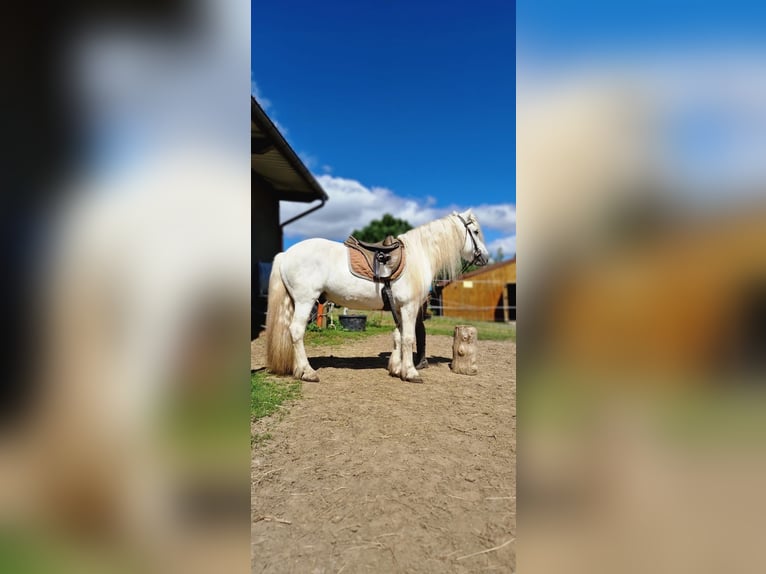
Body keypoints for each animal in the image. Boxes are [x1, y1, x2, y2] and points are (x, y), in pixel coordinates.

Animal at [265, 209, 491, 383]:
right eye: (476, 231)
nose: (486, 258)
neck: (418, 256)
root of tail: (286, 254)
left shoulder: (398, 308)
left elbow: (398, 336)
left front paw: (397, 369)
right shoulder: (409, 307)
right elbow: (408, 338)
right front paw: (411, 372)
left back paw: (298, 370)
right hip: (305, 301)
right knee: (296, 331)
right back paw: (308, 372)